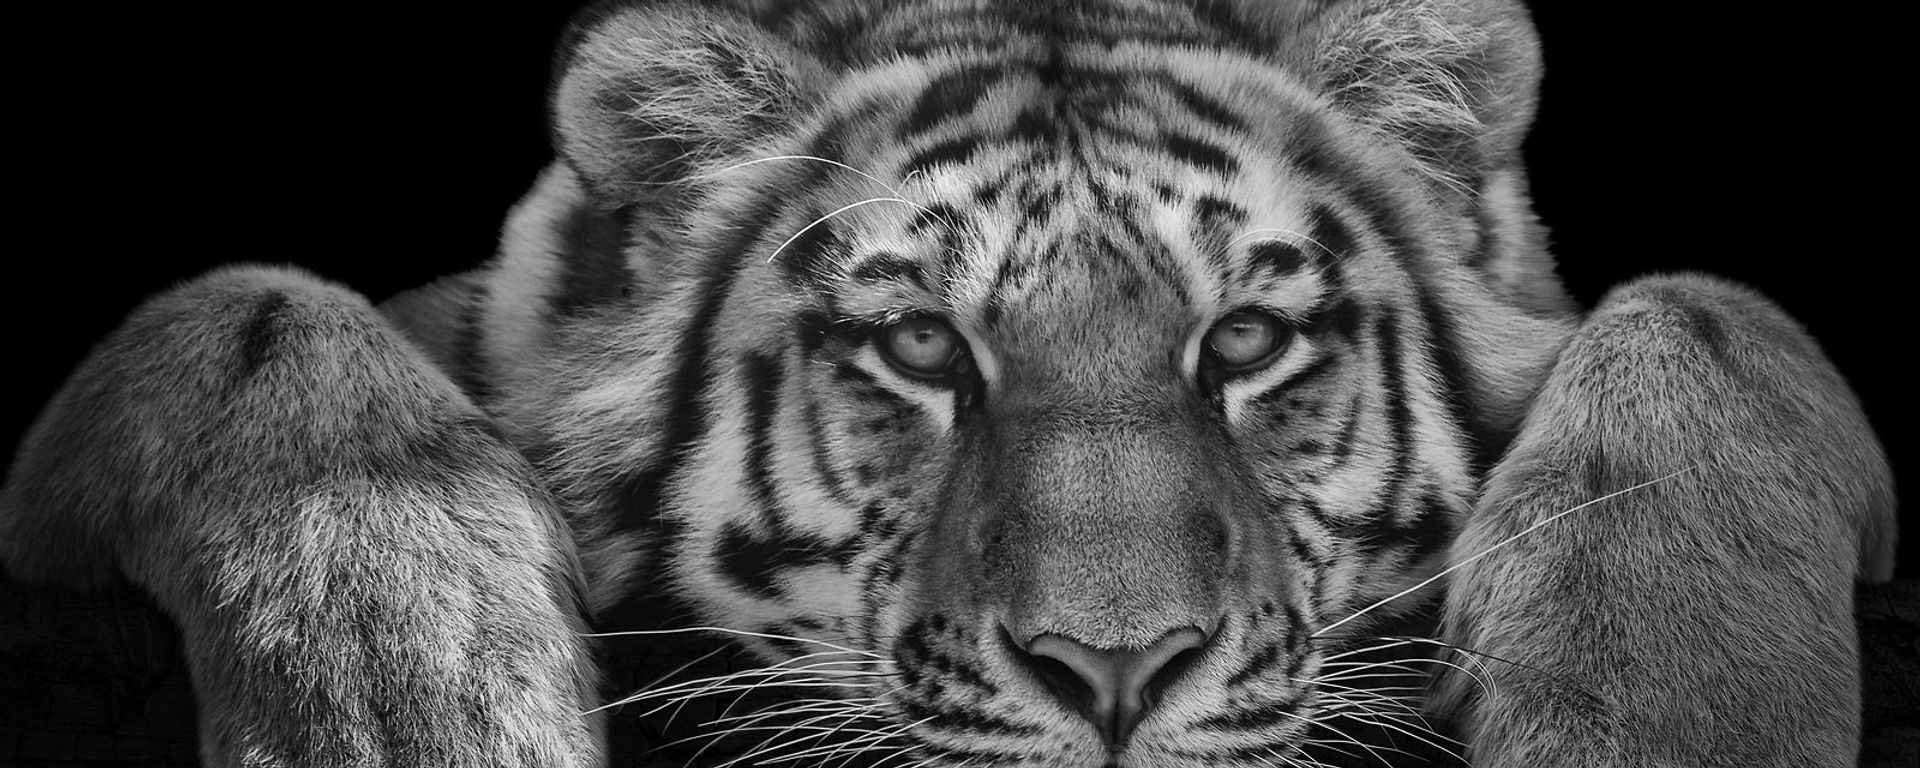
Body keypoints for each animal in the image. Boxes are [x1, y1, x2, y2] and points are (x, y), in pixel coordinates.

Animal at [0, 0, 1898, 766]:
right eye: (922, 345)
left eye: (1245, 341)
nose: (1116, 673)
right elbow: (243, 310)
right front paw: (411, 700)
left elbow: (1709, 309)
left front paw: (1672, 712)